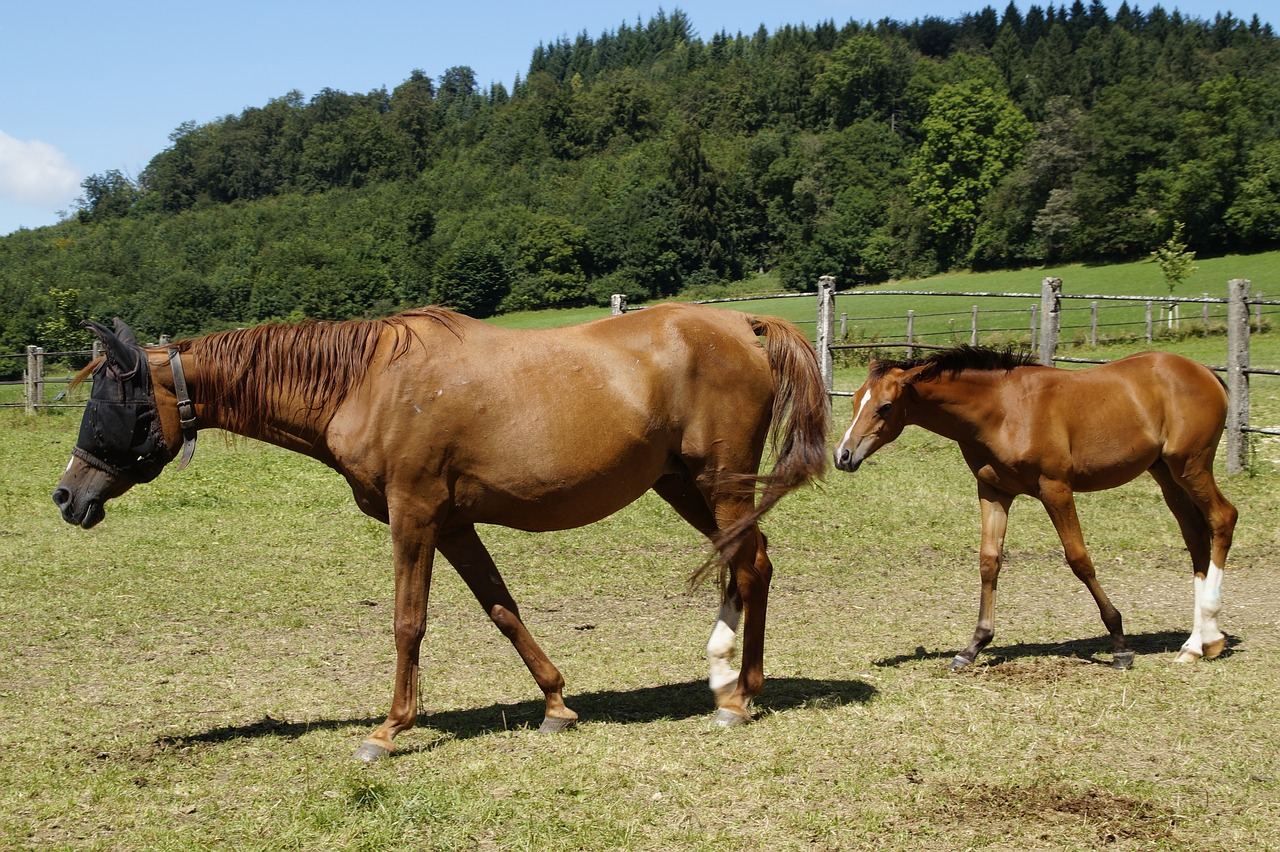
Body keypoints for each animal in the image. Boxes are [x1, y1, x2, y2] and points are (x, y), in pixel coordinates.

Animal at [53, 304, 829, 761]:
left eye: (112, 400)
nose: (68, 496)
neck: (365, 382)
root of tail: (745, 325)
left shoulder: (416, 515)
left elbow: (408, 622)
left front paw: (388, 730)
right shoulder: (454, 524)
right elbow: (502, 609)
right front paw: (555, 704)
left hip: (719, 482)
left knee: (746, 567)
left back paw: (736, 696)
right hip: (686, 484)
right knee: (754, 562)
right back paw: (735, 680)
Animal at [833, 346, 1237, 671]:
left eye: (885, 407)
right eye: (854, 401)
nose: (843, 456)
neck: (1002, 410)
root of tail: (1205, 373)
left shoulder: (1055, 488)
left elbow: (1079, 559)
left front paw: (1120, 645)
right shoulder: (993, 491)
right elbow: (989, 561)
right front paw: (973, 646)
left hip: (1190, 466)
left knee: (1223, 518)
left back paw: (1206, 634)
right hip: (1166, 474)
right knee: (1195, 537)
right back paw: (1199, 644)